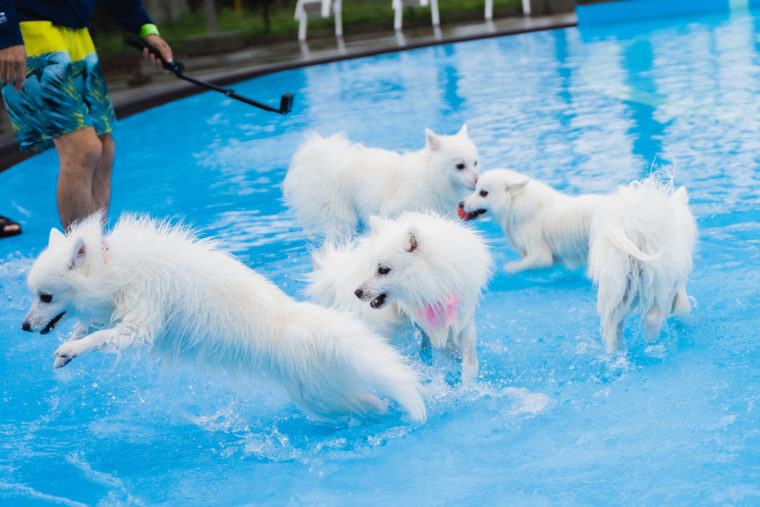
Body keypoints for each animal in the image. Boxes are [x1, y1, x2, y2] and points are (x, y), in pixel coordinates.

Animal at [19, 215, 428, 424]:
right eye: (34, 295)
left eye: (45, 296)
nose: (23, 327)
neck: (114, 266)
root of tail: (305, 326)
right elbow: (92, 324)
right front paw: (69, 346)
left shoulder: (141, 319)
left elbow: (105, 337)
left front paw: (71, 348)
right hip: (315, 396)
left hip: (322, 394)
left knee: (371, 403)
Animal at [282, 125, 478, 240]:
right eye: (460, 166)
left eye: (475, 163)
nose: (477, 182)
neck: (431, 178)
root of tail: (331, 160)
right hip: (342, 221)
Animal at [308, 211, 492, 380]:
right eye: (371, 267)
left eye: (383, 270)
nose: (357, 292)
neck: (435, 279)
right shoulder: (424, 319)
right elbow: (442, 344)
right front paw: (457, 356)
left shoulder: (464, 316)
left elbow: (467, 352)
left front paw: (469, 371)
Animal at [454, 169, 604, 274]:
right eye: (475, 189)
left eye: (483, 193)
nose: (460, 204)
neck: (514, 204)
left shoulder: (540, 255)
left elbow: (511, 267)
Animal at [592, 178, 696, 354]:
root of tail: (637, 234)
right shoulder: (677, 286)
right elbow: (683, 309)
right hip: (658, 285)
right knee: (652, 319)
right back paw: (653, 343)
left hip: (617, 290)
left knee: (614, 328)